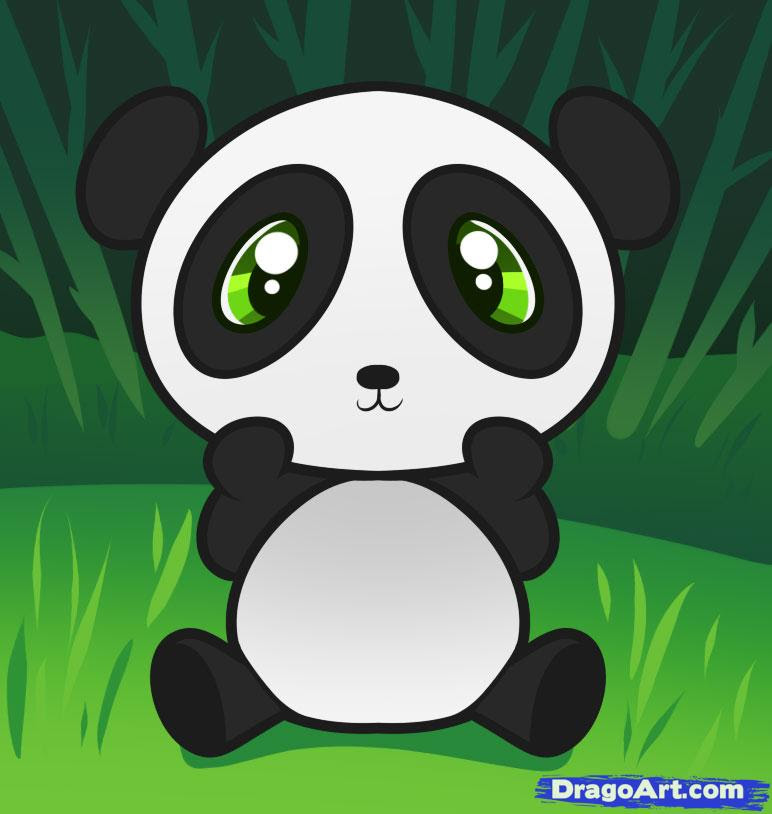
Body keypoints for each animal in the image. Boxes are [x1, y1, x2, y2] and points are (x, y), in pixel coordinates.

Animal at [77, 83, 677, 758]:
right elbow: (226, 542)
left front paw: (504, 448)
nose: (378, 373)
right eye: (262, 283)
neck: (378, 473)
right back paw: (203, 687)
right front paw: (252, 447)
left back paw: (553, 687)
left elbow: (530, 542)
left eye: (490, 280)